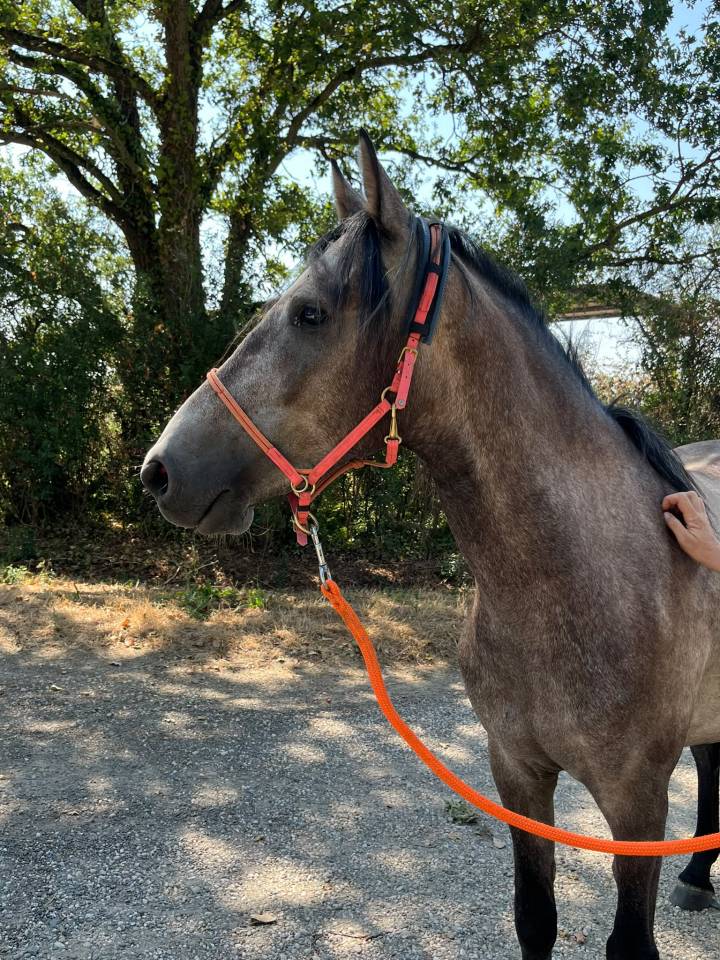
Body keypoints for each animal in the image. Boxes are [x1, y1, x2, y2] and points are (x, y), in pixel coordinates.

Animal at [141, 133, 720, 959]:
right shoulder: (517, 775)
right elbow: (534, 917)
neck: (584, 578)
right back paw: (697, 878)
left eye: (311, 312)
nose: (159, 470)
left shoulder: (637, 802)